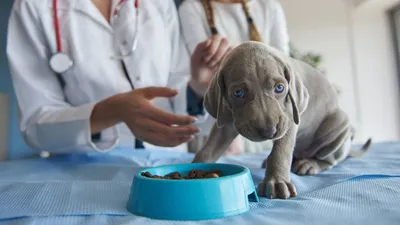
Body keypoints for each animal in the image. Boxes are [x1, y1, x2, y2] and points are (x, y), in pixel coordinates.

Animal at [192, 41, 370, 200]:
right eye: (238, 93)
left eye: (279, 88)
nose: (269, 131)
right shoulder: (226, 122)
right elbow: (208, 149)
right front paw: (195, 168)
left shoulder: (289, 120)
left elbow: (281, 151)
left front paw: (277, 182)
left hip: (339, 125)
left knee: (329, 158)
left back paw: (310, 164)